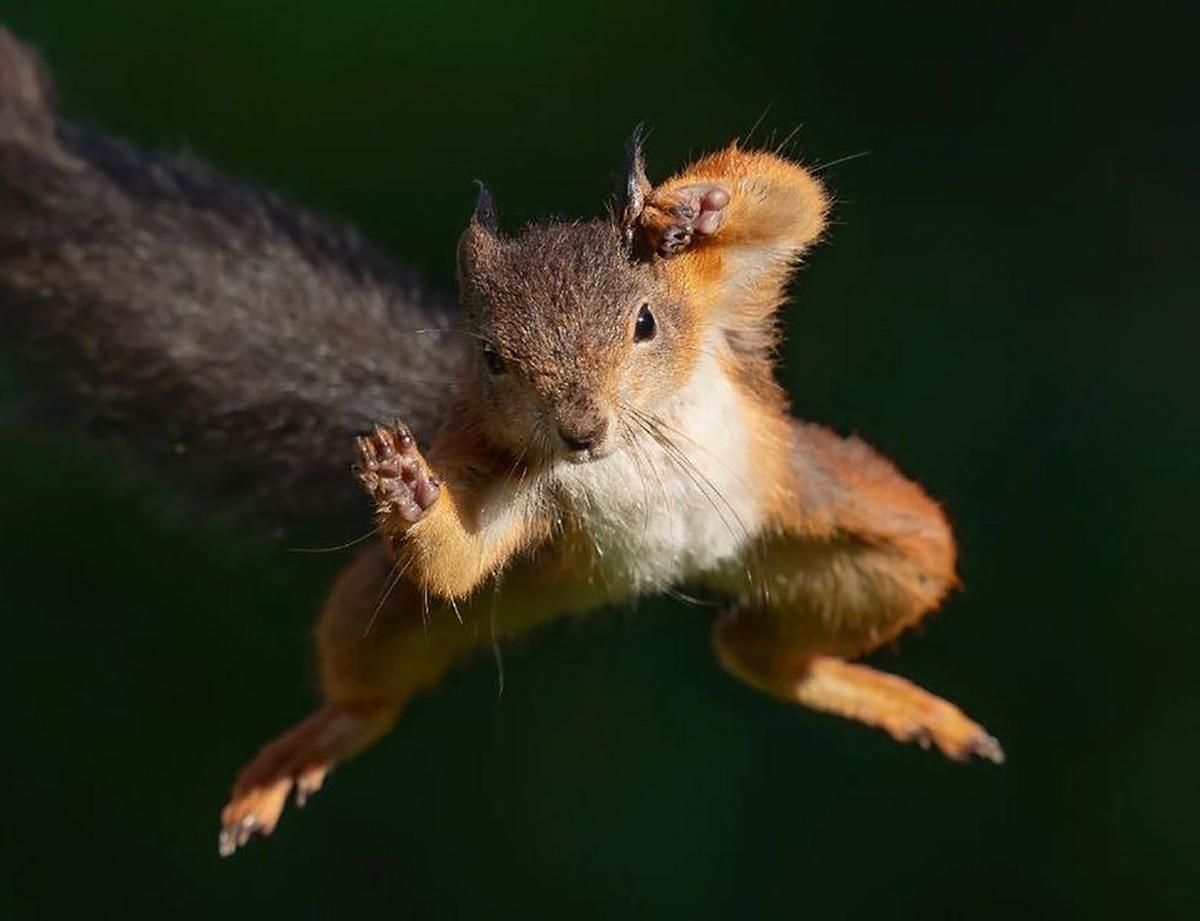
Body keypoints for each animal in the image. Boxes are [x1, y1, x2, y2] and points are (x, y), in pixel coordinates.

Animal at [0, 30, 1003, 863]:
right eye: (490, 358)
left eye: (645, 321)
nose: (582, 430)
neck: (626, 443)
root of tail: (674, 571)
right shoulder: (514, 487)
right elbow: (460, 552)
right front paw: (407, 489)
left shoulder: (723, 303)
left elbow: (795, 199)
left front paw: (685, 203)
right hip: (453, 597)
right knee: (387, 670)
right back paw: (316, 740)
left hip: (851, 528)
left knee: (780, 644)